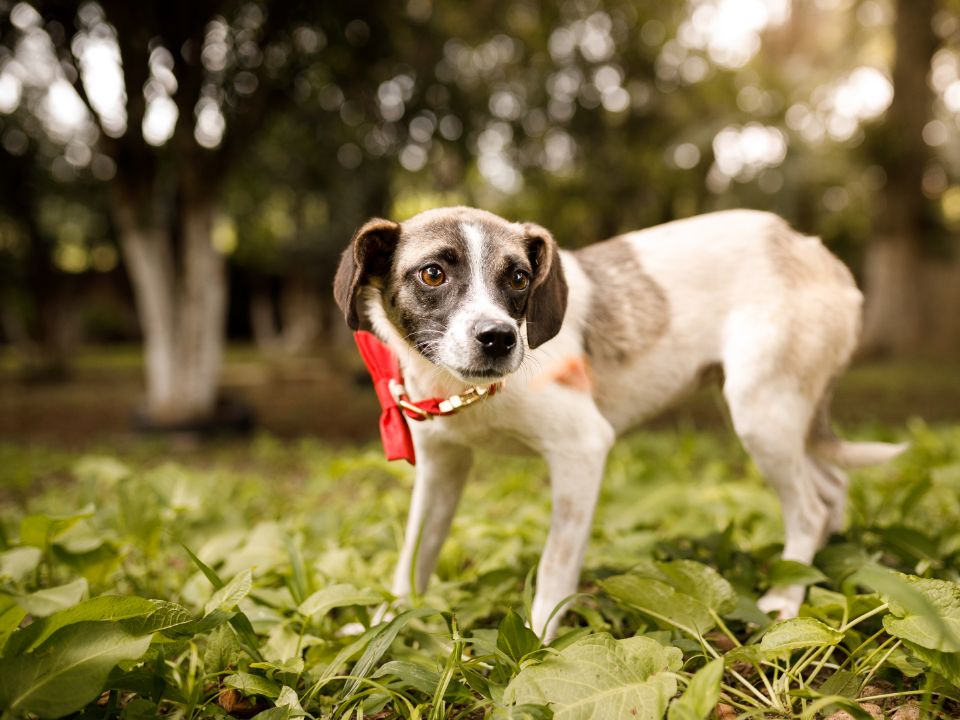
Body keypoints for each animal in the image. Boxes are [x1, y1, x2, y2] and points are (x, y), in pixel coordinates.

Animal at [334, 205, 904, 640]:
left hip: (760, 411)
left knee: (808, 508)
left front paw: (537, 643)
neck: (460, 391)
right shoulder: (441, 466)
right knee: (831, 486)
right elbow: (412, 558)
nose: (499, 338)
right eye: (432, 273)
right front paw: (383, 624)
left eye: (519, 278)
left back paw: (786, 596)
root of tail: (813, 249)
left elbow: (555, 565)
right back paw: (823, 563)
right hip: (781, 413)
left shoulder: (582, 450)